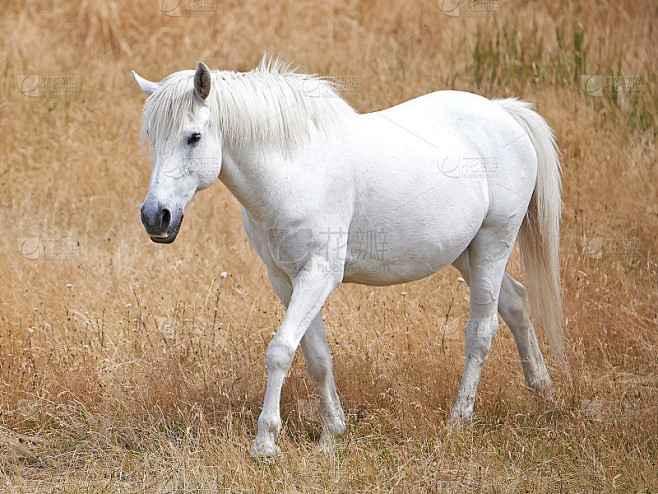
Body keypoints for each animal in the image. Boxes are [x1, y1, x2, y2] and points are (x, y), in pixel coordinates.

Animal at [132, 57, 565, 457]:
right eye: (151, 135)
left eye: (194, 137)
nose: (155, 216)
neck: (294, 170)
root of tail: (503, 111)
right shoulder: (285, 278)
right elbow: (316, 356)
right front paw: (331, 434)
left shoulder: (319, 274)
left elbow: (281, 351)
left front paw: (266, 442)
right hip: (467, 253)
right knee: (516, 303)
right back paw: (542, 390)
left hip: (494, 243)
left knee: (481, 332)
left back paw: (460, 419)